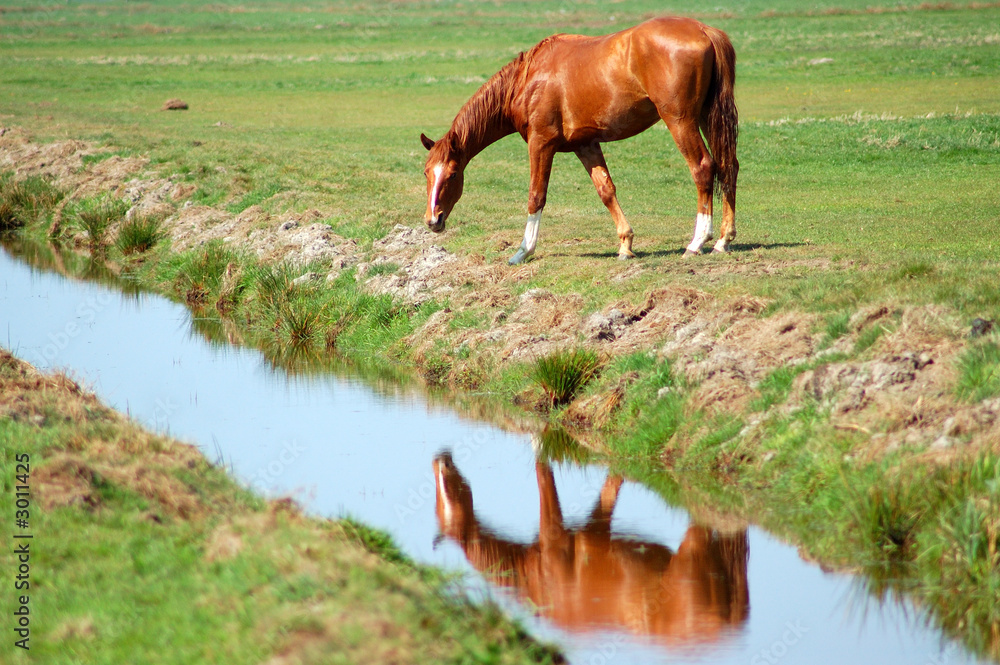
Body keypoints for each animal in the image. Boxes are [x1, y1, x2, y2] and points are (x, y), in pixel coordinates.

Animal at [421, 16, 739, 265]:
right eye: (426, 174)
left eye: (452, 175)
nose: (433, 220)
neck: (526, 79)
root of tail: (703, 30)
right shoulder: (585, 145)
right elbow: (606, 190)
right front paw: (625, 244)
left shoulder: (541, 143)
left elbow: (536, 195)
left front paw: (523, 251)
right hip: (707, 117)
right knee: (728, 166)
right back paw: (723, 240)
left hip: (680, 121)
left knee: (703, 167)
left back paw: (698, 241)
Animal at [432, 452, 749, 643]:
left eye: (447, 495)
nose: (440, 459)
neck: (531, 577)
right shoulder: (596, 527)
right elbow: (611, 485)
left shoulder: (556, 536)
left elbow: (542, 470)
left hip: (693, 546)